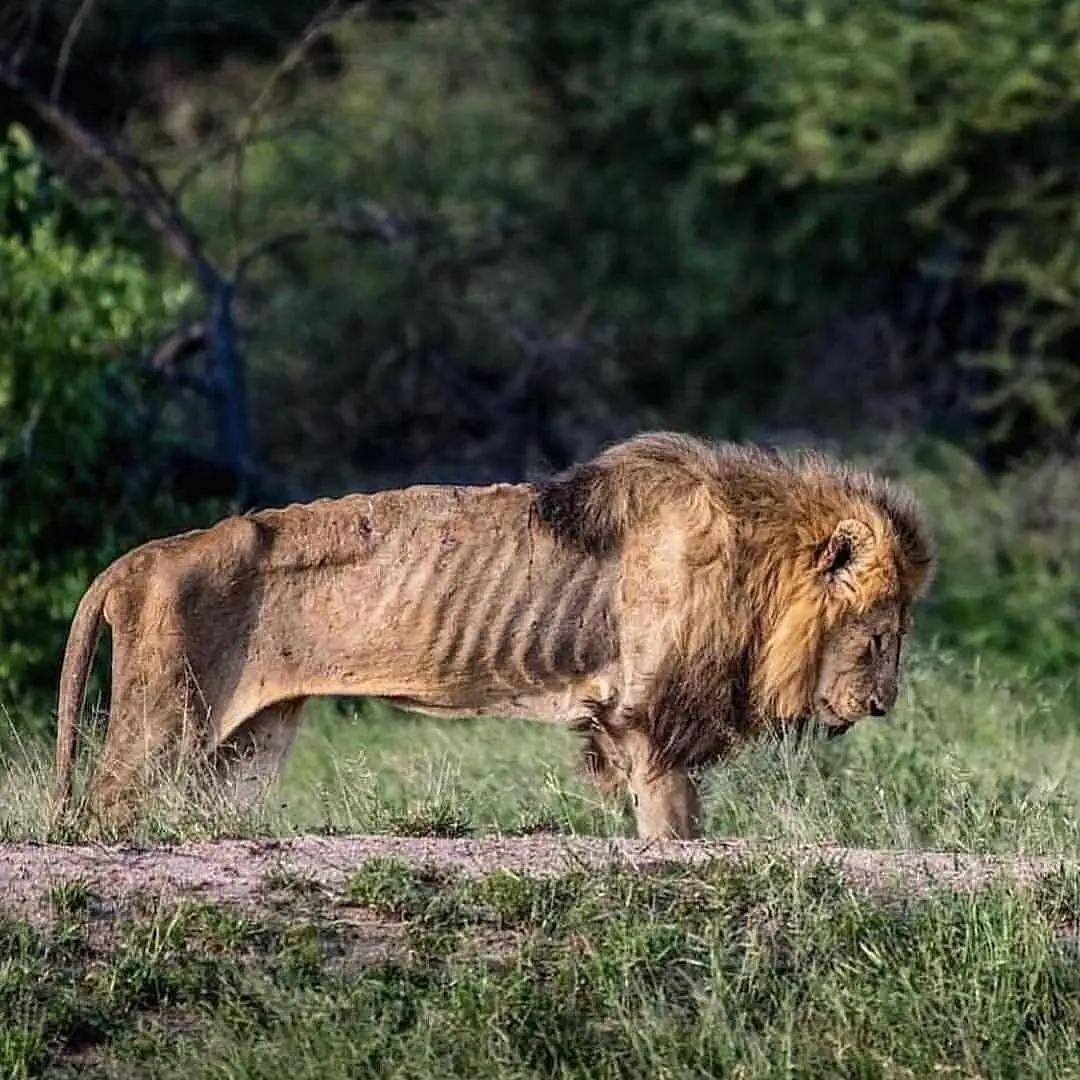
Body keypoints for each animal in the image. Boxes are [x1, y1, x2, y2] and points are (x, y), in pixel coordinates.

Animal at [50, 432, 933, 842]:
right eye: (880, 636)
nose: (884, 705)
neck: (757, 562)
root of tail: (138, 559)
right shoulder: (650, 717)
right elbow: (674, 825)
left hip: (242, 748)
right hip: (163, 724)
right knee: (104, 810)